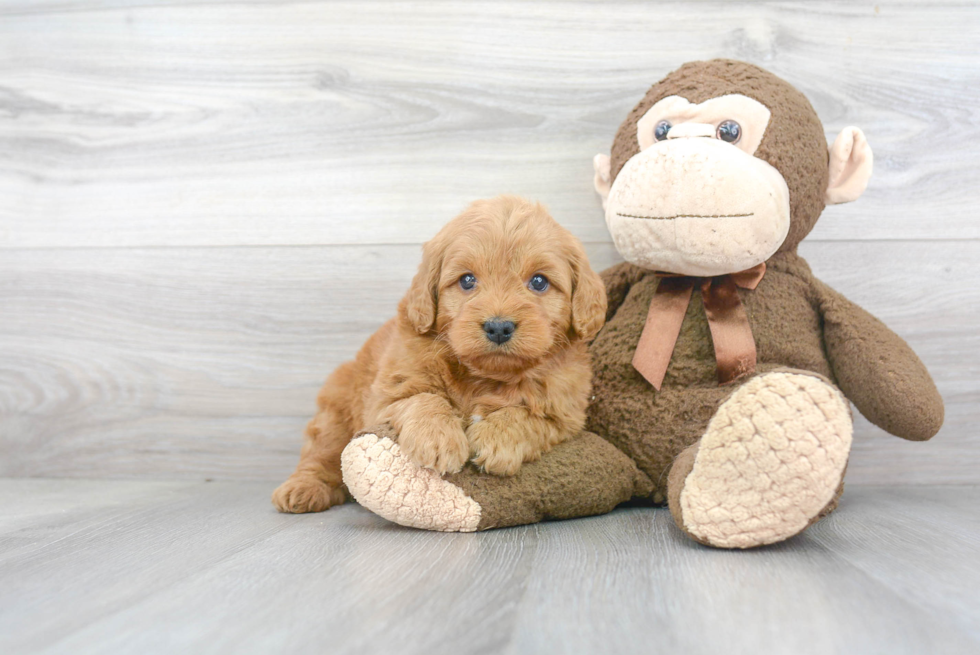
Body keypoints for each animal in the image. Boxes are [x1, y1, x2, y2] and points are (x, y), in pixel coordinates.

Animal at [270, 195, 604, 512]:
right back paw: (302, 490)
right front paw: (438, 438)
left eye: (539, 281)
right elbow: (423, 399)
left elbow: (526, 415)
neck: (484, 376)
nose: (499, 327)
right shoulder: (387, 397)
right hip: (336, 416)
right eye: (467, 280)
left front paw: (497, 438)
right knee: (321, 455)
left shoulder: (564, 415)